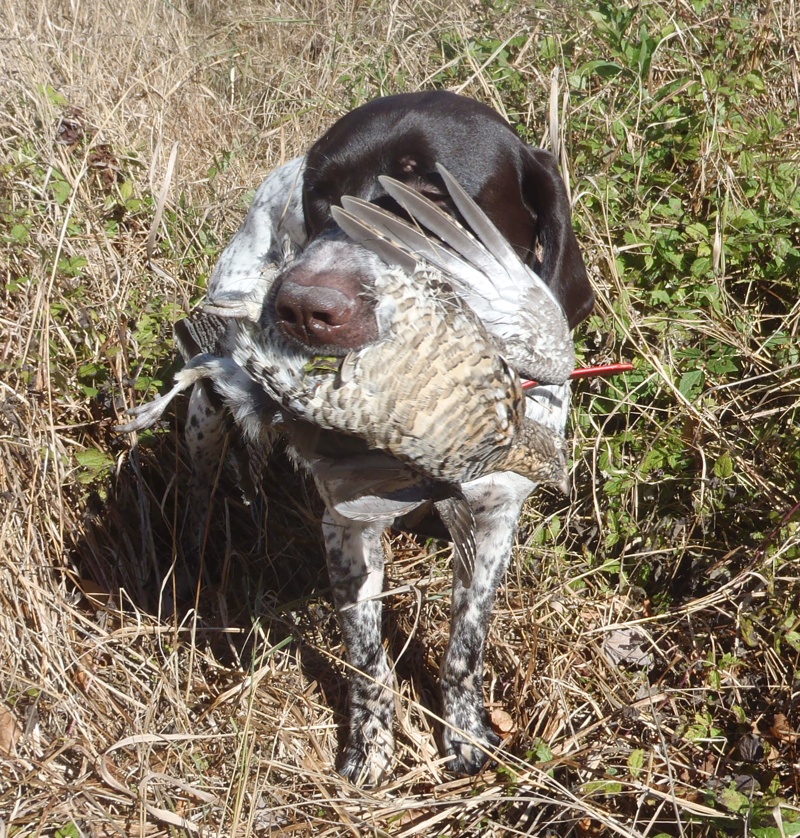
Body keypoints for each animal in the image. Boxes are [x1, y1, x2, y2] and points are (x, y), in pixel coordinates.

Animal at [130, 92, 592, 788]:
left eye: (432, 195)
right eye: (319, 196)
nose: (297, 305)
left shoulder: (495, 516)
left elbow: (466, 644)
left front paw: (465, 734)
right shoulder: (347, 525)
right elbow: (367, 659)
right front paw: (370, 749)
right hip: (207, 413)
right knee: (200, 488)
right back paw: (190, 568)